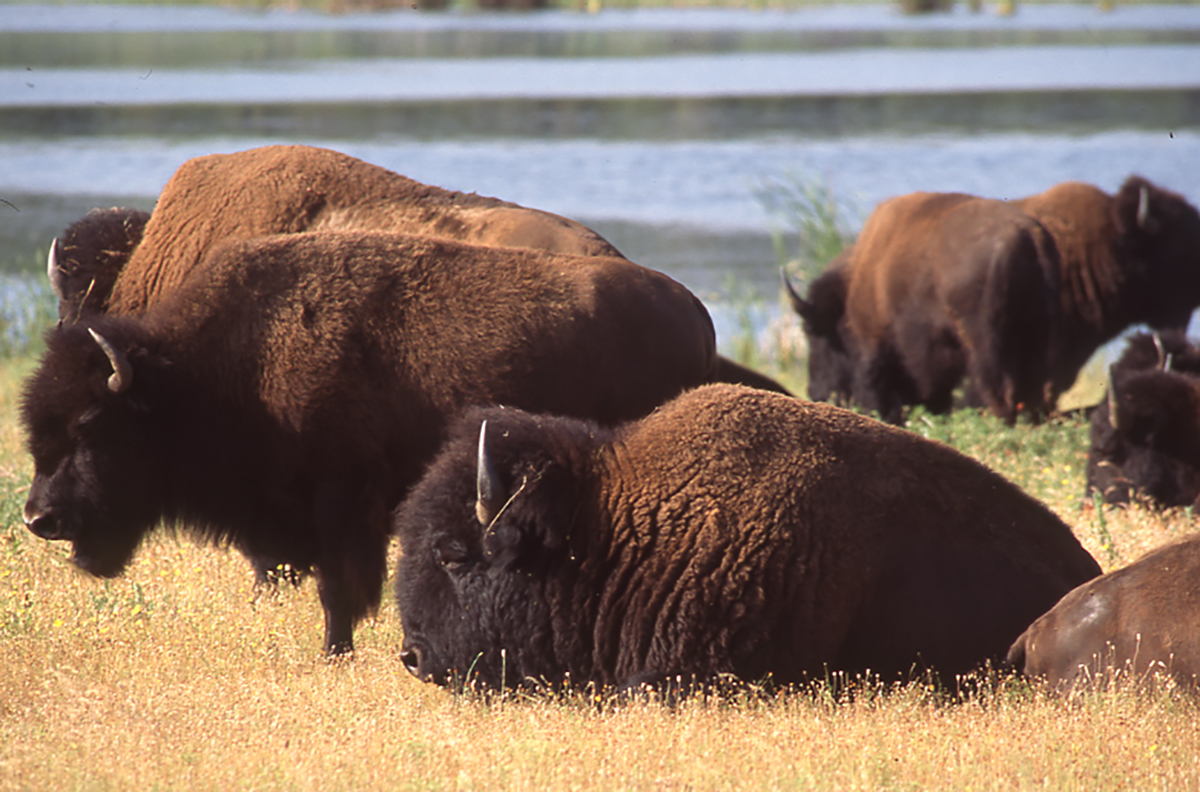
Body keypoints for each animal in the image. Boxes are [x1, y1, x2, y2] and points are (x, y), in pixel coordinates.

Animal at [22, 231, 725, 655]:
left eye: (91, 424)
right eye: (38, 426)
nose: (38, 518)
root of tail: (694, 311)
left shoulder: (343, 506)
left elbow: (341, 592)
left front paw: (337, 654)